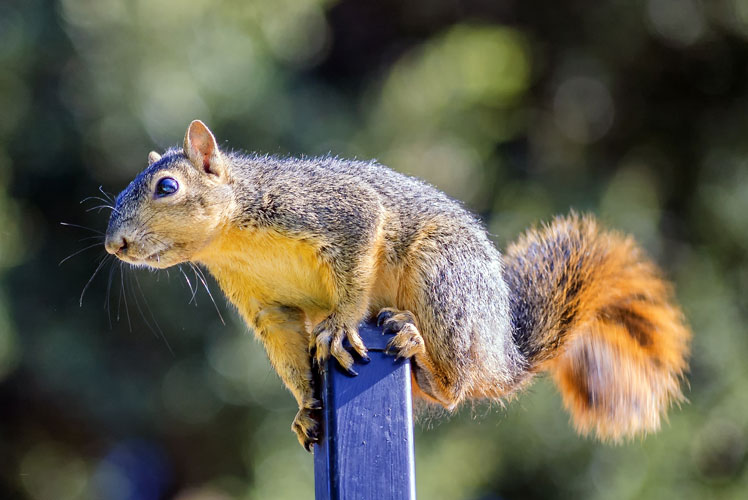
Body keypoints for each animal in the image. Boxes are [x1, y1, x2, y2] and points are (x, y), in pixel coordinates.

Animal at [103, 120, 688, 450]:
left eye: (167, 187)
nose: (114, 245)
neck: (231, 239)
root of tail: (502, 352)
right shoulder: (263, 304)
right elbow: (287, 347)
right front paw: (306, 406)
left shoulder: (336, 212)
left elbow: (356, 264)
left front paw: (340, 326)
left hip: (443, 275)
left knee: (454, 388)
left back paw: (417, 345)